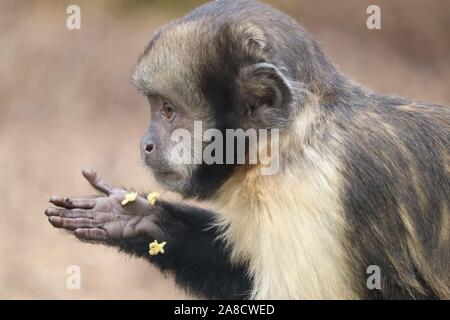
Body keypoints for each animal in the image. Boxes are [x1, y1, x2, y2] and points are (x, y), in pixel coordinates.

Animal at [44, 0, 448, 300]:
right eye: (156, 107)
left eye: (168, 110)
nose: (145, 144)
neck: (291, 137)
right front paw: (139, 220)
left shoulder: (307, 193)